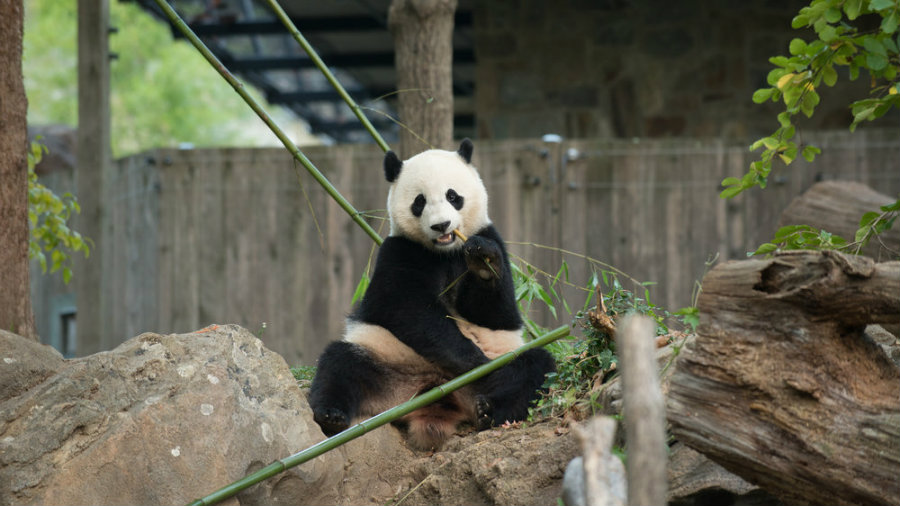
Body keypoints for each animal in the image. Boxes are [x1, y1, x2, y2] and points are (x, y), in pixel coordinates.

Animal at [310, 138, 556, 450]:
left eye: (453, 196)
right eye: (419, 201)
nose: (441, 225)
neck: (446, 251)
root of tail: (437, 395)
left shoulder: (491, 238)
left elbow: (497, 313)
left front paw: (483, 263)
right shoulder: (400, 251)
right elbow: (405, 309)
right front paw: (473, 360)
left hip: (496, 369)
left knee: (534, 368)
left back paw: (489, 410)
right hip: (388, 364)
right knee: (341, 364)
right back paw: (331, 416)